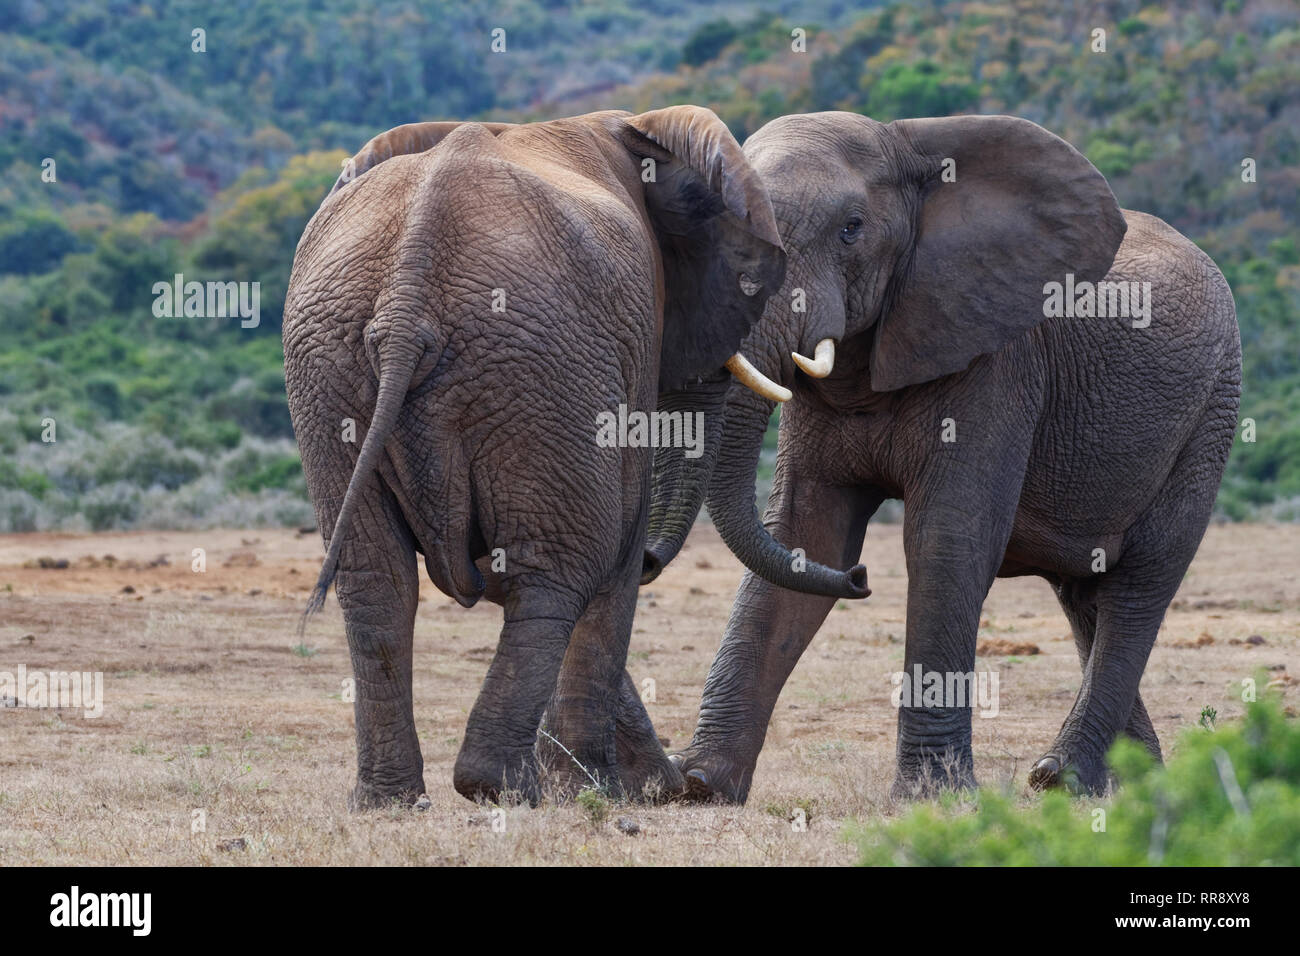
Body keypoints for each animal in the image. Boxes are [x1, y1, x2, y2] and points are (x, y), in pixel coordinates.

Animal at [665, 110, 1242, 801]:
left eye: (851, 229)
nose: (861, 580)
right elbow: (808, 533)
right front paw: (695, 784)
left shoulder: (998, 361)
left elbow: (946, 540)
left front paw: (930, 796)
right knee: (1086, 592)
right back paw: (1126, 785)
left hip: (1211, 414)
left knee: (1140, 584)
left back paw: (1059, 778)